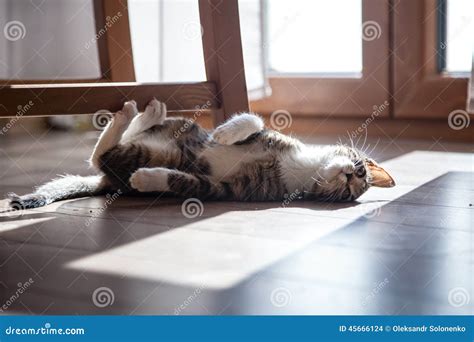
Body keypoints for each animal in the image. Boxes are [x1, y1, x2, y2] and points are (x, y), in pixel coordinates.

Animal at [7, 99, 394, 210]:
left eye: (349, 192)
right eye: (361, 169)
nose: (352, 174)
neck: (301, 167)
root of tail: (104, 181)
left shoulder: (229, 189)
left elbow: (186, 183)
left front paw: (149, 179)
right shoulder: (272, 137)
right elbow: (253, 119)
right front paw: (225, 133)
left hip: (136, 154)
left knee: (104, 154)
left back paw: (132, 115)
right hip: (182, 129)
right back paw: (148, 111)